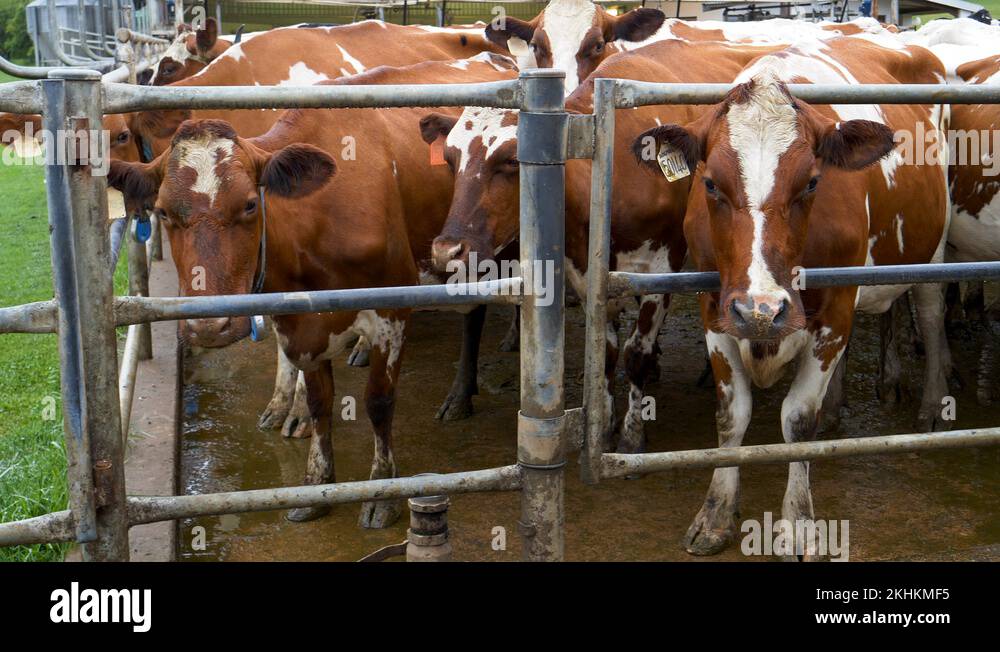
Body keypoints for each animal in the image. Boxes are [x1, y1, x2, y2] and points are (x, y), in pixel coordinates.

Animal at [106, 56, 517, 528]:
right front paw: (316, 484)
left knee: (477, 314)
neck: (319, 216)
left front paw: (382, 491)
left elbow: (379, 402)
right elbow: (321, 403)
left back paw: (462, 392)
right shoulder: (299, 323)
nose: (209, 326)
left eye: (250, 204)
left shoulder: (393, 311)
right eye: (163, 212)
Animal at [421, 39, 782, 457]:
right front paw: (605, 424)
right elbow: (607, 354)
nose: (447, 250)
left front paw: (632, 434)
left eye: (511, 160)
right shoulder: (589, 273)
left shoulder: (661, 270)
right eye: (450, 160)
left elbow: (635, 354)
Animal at [633, 37, 950, 557]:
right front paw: (715, 514)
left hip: (933, 256)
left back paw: (930, 408)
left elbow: (798, 419)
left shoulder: (836, 309)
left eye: (813, 182)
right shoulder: (714, 309)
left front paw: (799, 525)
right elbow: (732, 413)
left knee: (930, 316)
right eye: (710, 183)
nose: (762, 309)